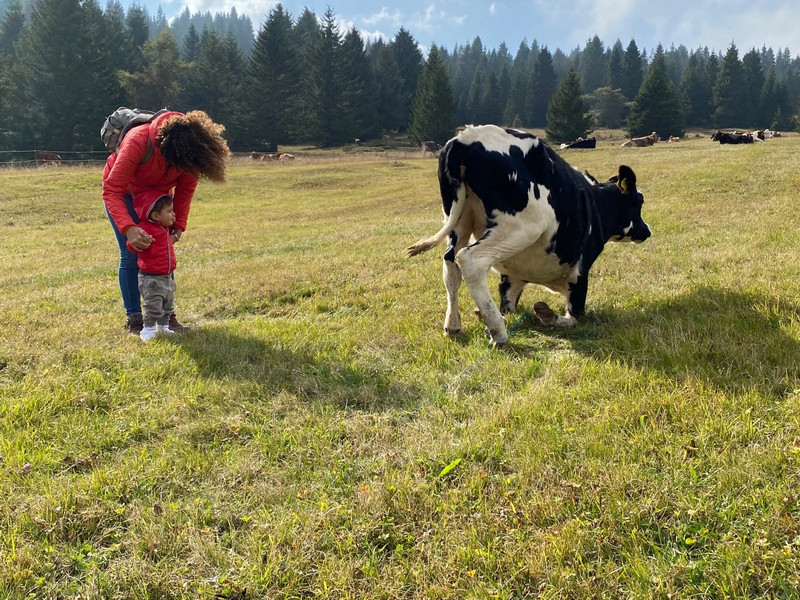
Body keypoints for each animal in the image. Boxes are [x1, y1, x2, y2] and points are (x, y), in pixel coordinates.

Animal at [406, 123, 648, 346]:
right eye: (639, 201)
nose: (647, 230)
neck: (593, 203)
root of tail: (465, 138)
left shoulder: (511, 278)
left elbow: (510, 306)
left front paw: (485, 315)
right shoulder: (579, 273)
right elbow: (574, 317)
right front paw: (547, 315)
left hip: (459, 221)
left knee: (450, 265)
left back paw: (454, 326)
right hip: (521, 226)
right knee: (470, 259)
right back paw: (498, 332)